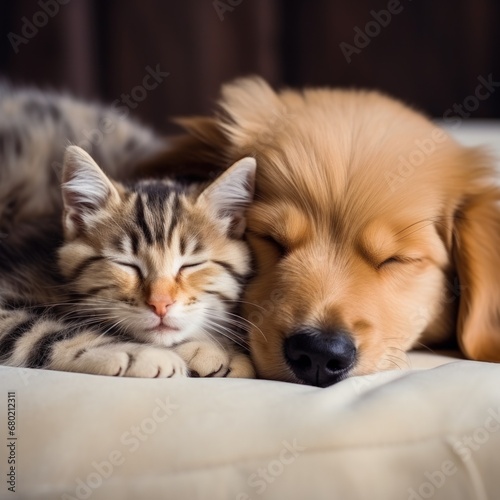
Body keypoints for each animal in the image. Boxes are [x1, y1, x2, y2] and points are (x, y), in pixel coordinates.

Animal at [0, 85, 256, 378]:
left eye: (191, 265)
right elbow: (38, 331)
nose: (160, 305)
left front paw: (218, 347)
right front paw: (139, 354)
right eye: (126, 264)